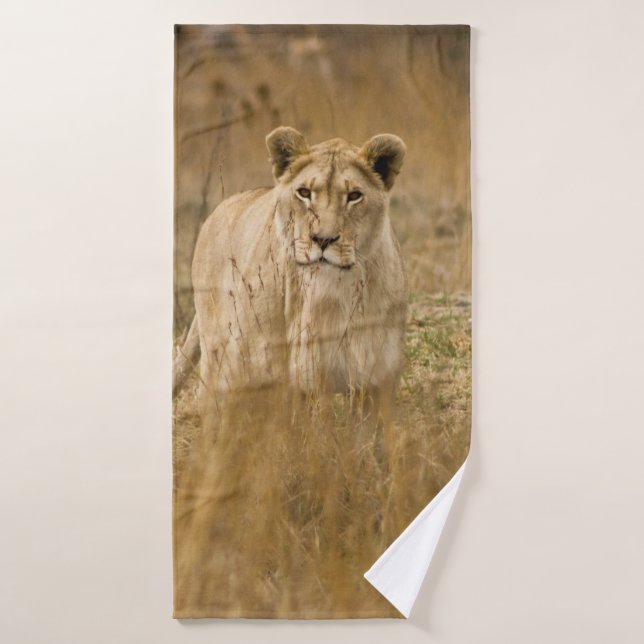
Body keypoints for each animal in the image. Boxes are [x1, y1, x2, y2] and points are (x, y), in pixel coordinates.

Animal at [173, 127, 408, 417]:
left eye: (354, 196)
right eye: (304, 193)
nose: (323, 239)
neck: (329, 296)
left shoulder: (375, 379)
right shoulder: (264, 367)